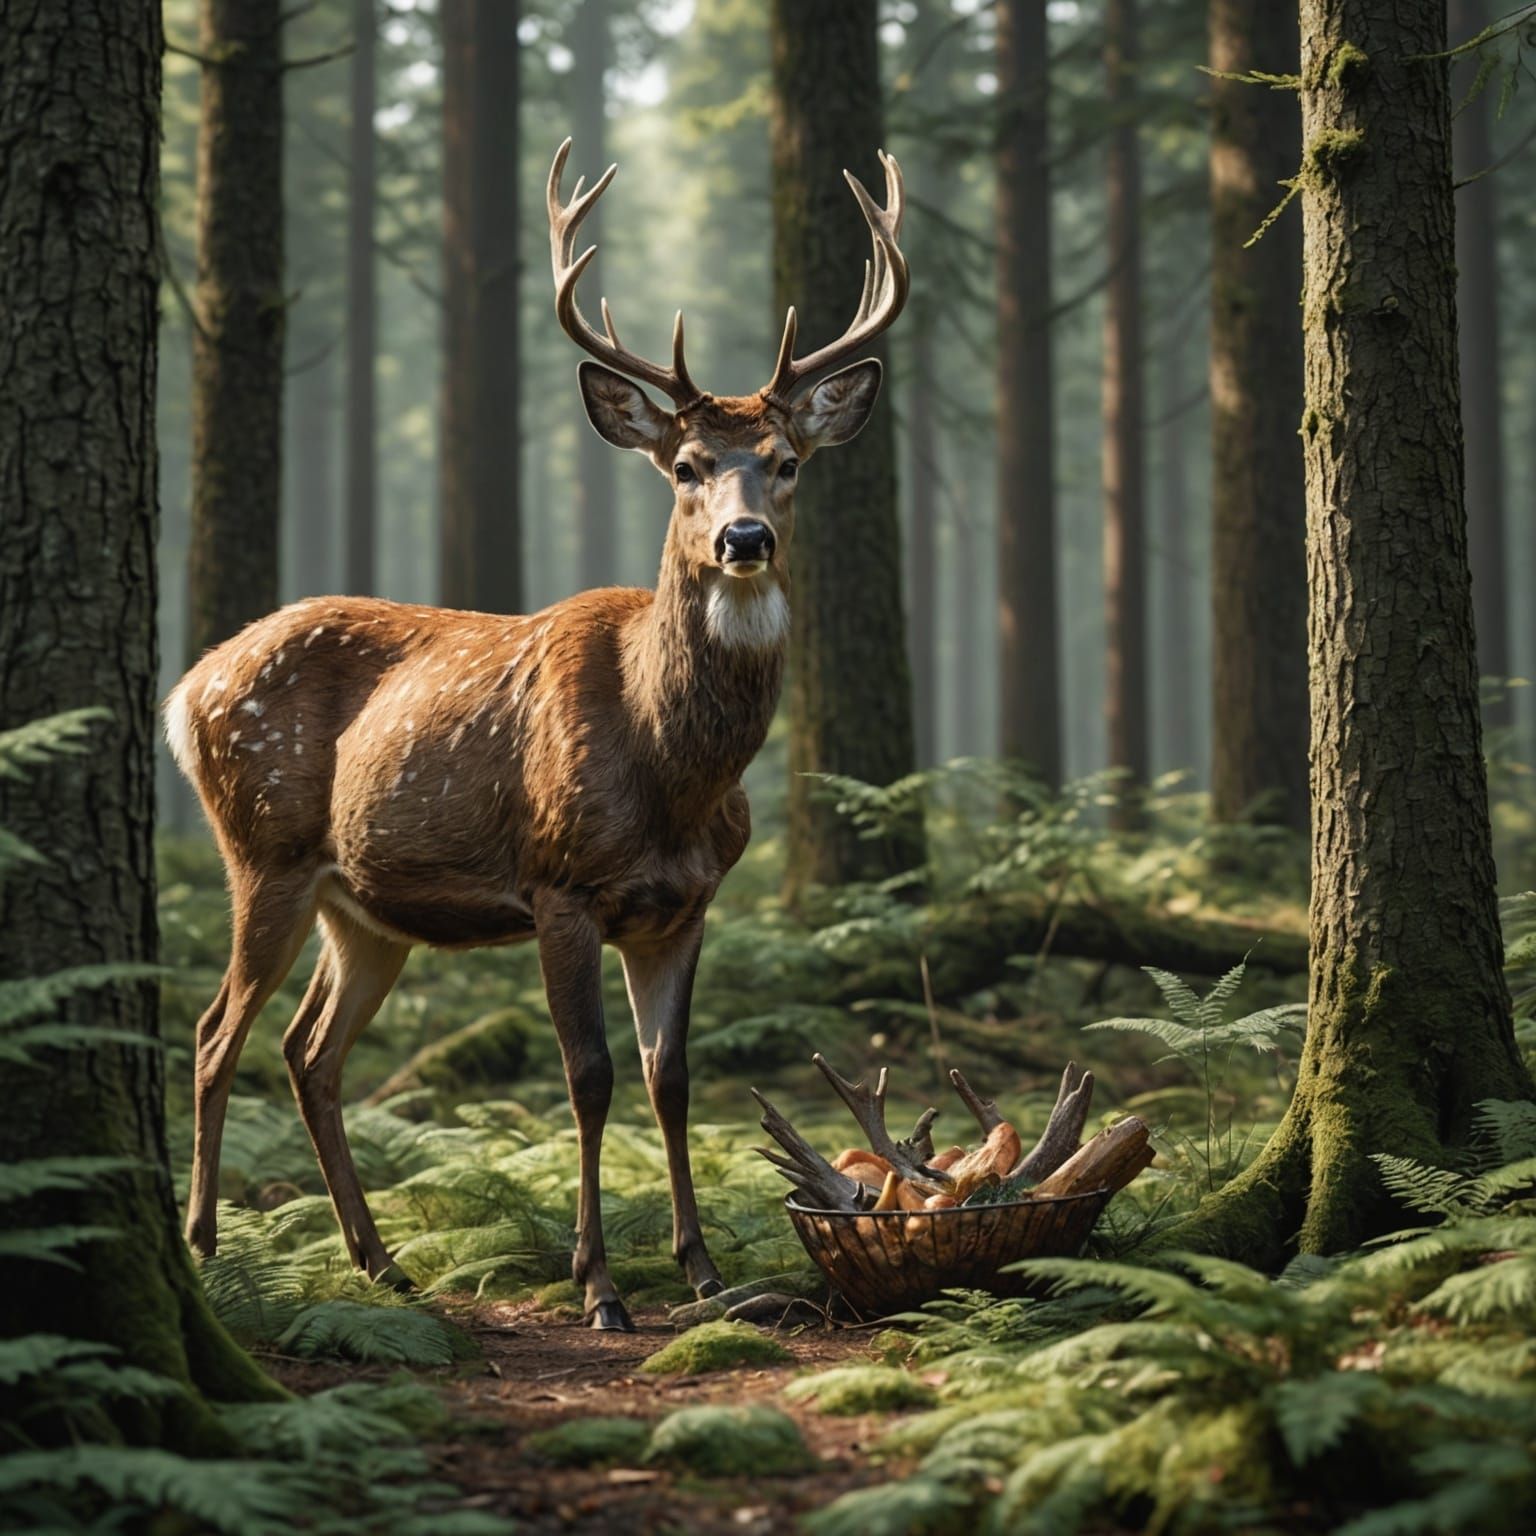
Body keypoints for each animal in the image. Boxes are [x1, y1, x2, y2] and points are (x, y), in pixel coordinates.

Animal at [162, 139, 910, 1330]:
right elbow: (588, 1075)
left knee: (307, 1051)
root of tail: (186, 690)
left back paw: (381, 1262)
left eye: (789, 459)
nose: (745, 539)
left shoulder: (685, 903)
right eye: (686, 467)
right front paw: (598, 1286)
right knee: (211, 1033)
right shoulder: (561, 882)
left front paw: (703, 1272)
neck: (673, 775)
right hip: (263, 848)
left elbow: (669, 1076)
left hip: (362, 907)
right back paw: (201, 1243)